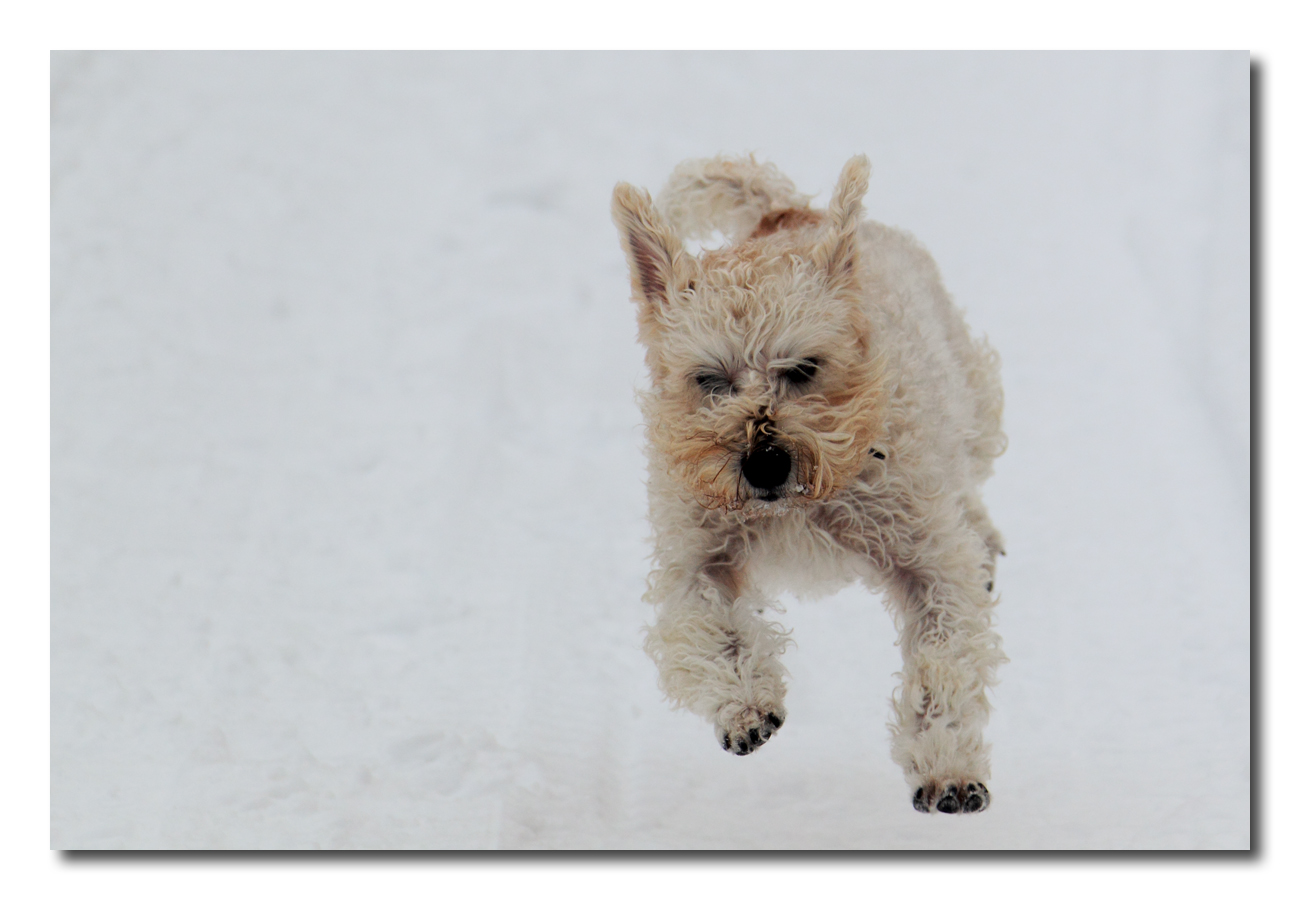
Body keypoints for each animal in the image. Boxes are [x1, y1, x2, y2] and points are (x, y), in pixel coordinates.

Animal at [611, 155, 1008, 814]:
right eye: (710, 378)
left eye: (803, 368)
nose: (765, 463)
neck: (799, 506)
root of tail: (789, 210)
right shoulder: (694, 556)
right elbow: (709, 629)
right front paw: (745, 707)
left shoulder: (926, 560)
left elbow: (943, 660)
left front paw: (946, 766)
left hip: (971, 400)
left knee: (968, 481)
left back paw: (983, 541)